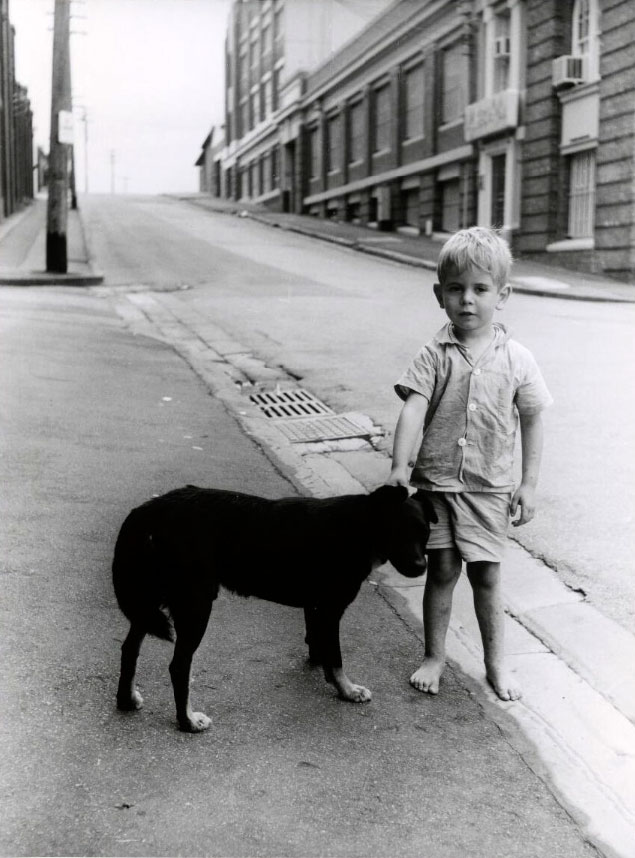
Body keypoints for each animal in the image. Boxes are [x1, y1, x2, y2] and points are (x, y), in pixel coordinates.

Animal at [112, 482, 434, 728]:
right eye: (400, 532)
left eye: (425, 533)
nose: (422, 568)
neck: (361, 527)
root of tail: (149, 510)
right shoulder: (331, 609)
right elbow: (337, 657)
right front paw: (347, 689)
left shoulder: (316, 607)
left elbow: (319, 644)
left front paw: (324, 670)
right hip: (195, 604)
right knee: (179, 666)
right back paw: (187, 721)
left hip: (149, 600)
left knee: (129, 649)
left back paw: (126, 699)